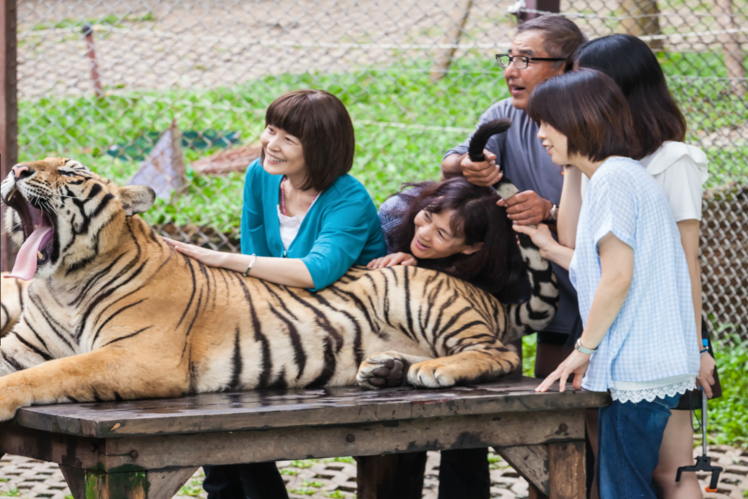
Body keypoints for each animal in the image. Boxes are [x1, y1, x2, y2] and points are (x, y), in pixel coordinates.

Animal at [0, 157, 558, 422]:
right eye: (31, 163)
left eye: (67, 171)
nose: (16, 169)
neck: (63, 282)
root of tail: (488, 296)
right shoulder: (22, 345)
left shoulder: (138, 354)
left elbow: (57, 371)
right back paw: (384, 368)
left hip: (421, 299)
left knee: (501, 354)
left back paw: (434, 370)